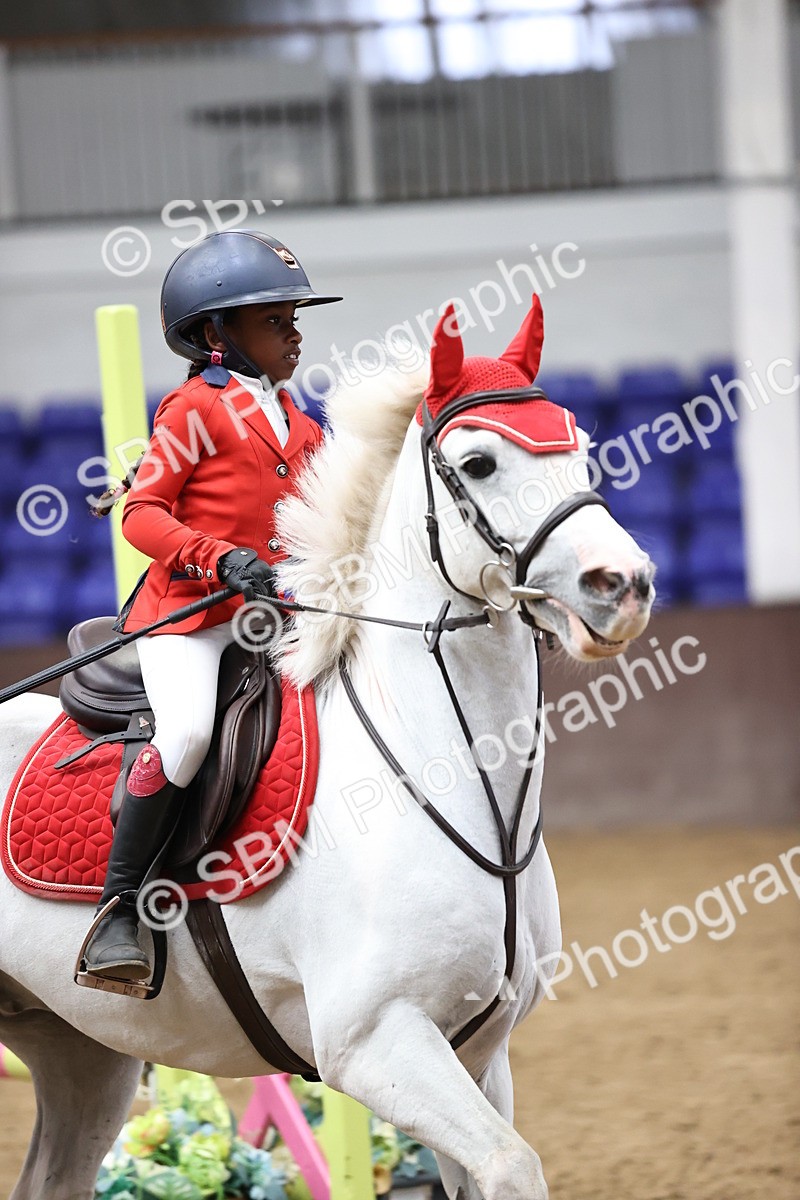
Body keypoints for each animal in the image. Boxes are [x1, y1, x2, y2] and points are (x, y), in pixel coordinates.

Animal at [0, 296, 654, 1200]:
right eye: (479, 462)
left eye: (581, 445)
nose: (622, 585)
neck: (456, 781)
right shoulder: (375, 1046)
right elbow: (513, 1164)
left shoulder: (478, 1053)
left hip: (80, 1053)